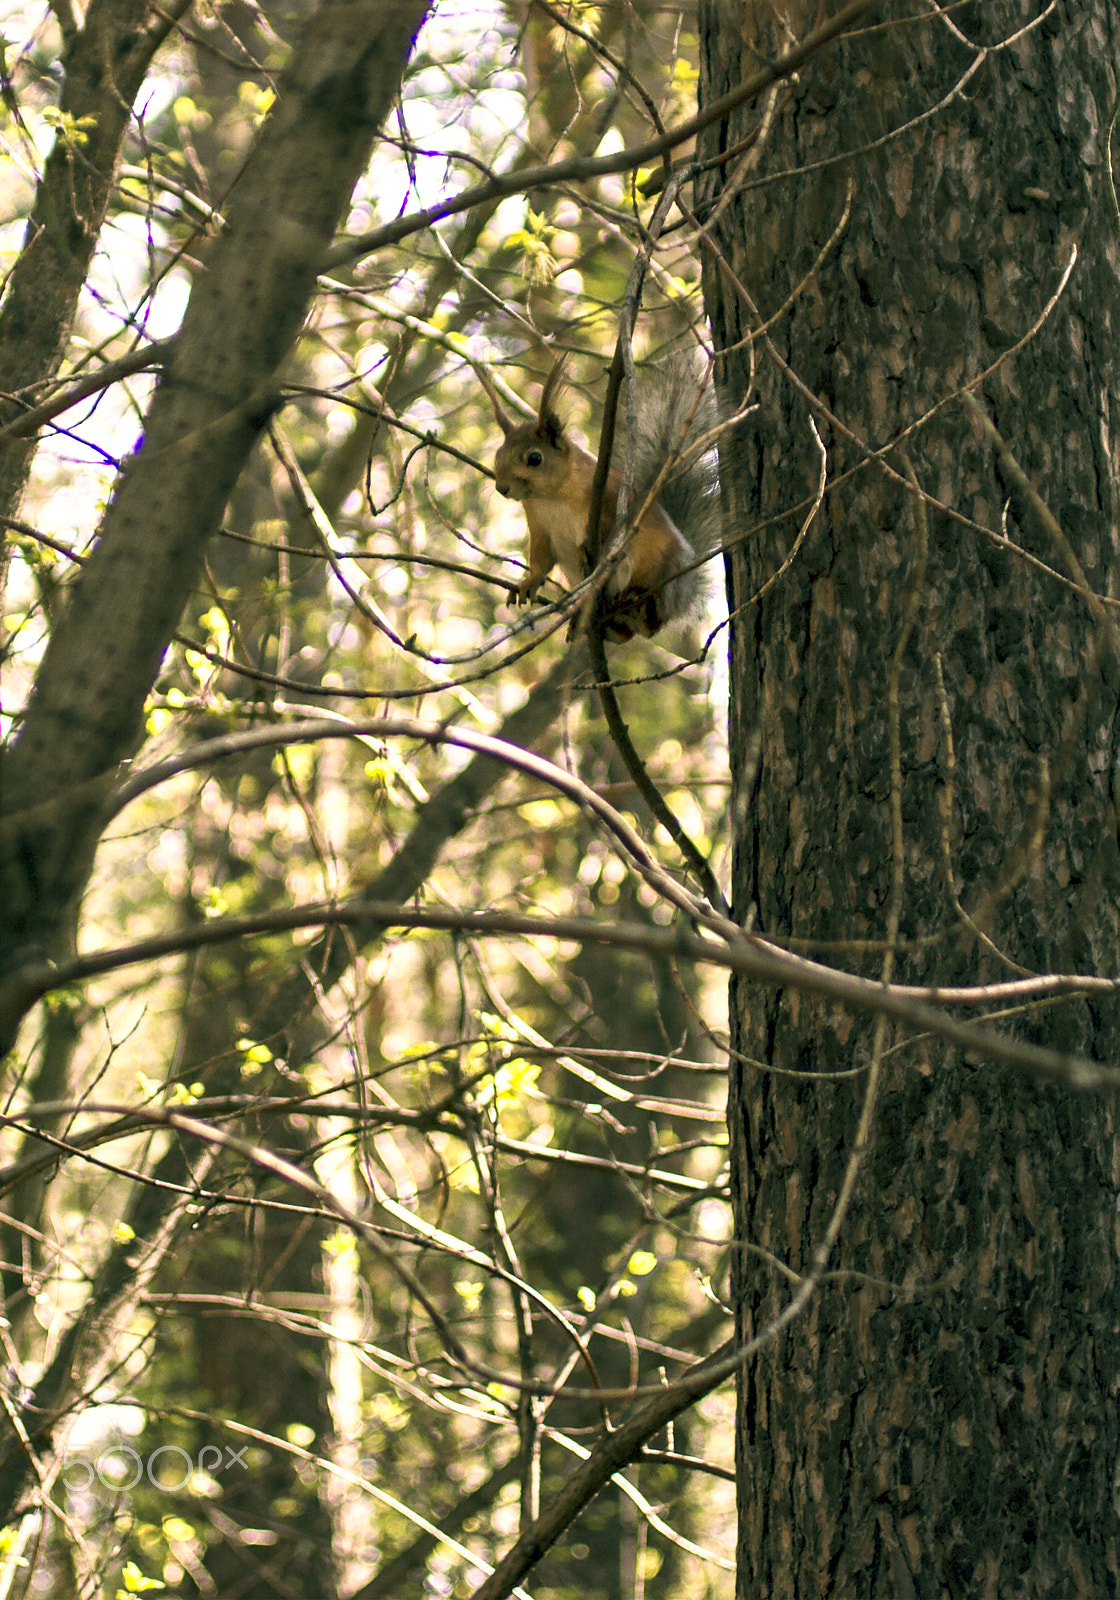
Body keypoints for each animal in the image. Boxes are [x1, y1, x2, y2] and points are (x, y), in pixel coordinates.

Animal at [482, 354, 720, 642]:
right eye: (498, 454)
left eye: (534, 458)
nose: (502, 488)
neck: (550, 497)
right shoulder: (539, 527)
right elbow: (541, 560)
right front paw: (528, 583)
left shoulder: (610, 498)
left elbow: (613, 533)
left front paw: (585, 548)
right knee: (626, 633)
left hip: (661, 568)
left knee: (652, 618)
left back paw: (635, 600)